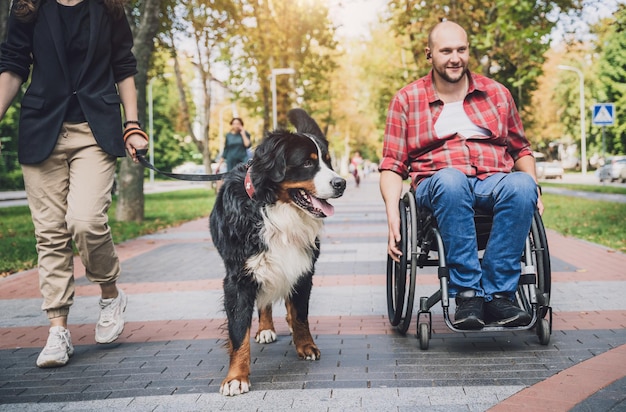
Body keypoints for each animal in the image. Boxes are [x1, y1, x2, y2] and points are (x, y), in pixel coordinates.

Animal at [210, 108, 346, 396]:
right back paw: (265, 328)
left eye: (329, 162)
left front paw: (305, 345)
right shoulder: (238, 278)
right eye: (307, 163)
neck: (276, 212)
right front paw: (236, 377)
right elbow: (238, 330)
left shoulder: (303, 267)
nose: (342, 183)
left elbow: (301, 313)